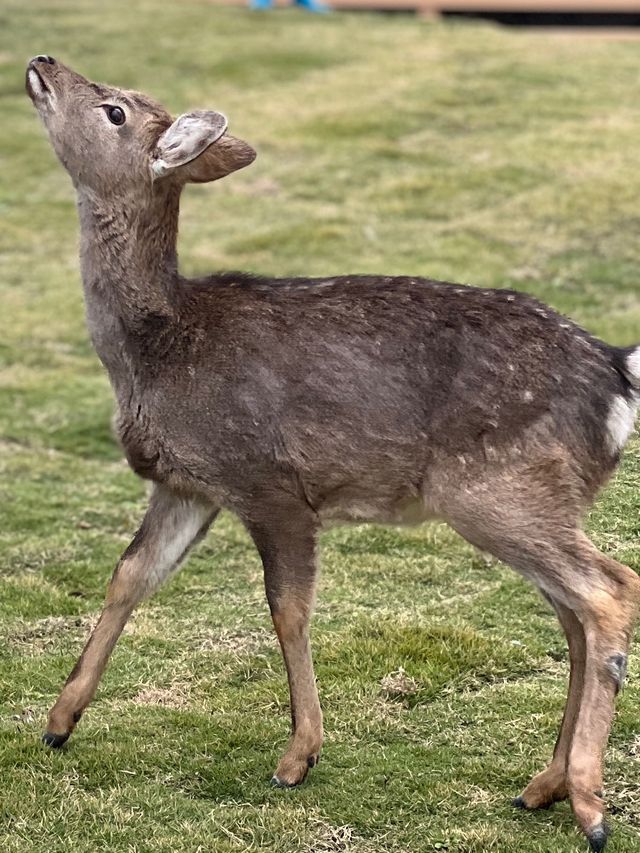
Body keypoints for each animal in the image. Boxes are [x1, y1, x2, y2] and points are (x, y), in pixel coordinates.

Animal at [26, 56, 640, 848]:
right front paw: (58, 721)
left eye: (115, 111)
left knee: (609, 590)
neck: (155, 353)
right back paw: (543, 787)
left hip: (497, 489)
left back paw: (590, 805)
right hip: (538, 497)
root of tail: (619, 373)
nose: (43, 63)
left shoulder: (269, 481)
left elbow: (288, 608)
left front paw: (298, 756)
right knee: (573, 616)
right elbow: (129, 576)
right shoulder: (188, 484)